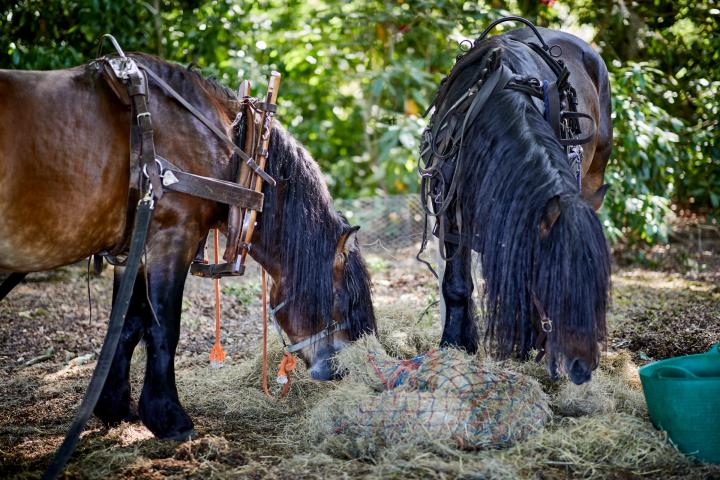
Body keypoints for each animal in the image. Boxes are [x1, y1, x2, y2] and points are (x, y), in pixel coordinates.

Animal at [1, 53, 376, 438]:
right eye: (343, 299)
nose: (341, 370)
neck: (227, 145)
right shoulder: (172, 237)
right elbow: (164, 326)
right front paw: (167, 416)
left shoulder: (136, 251)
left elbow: (126, 326)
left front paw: (115, 405)